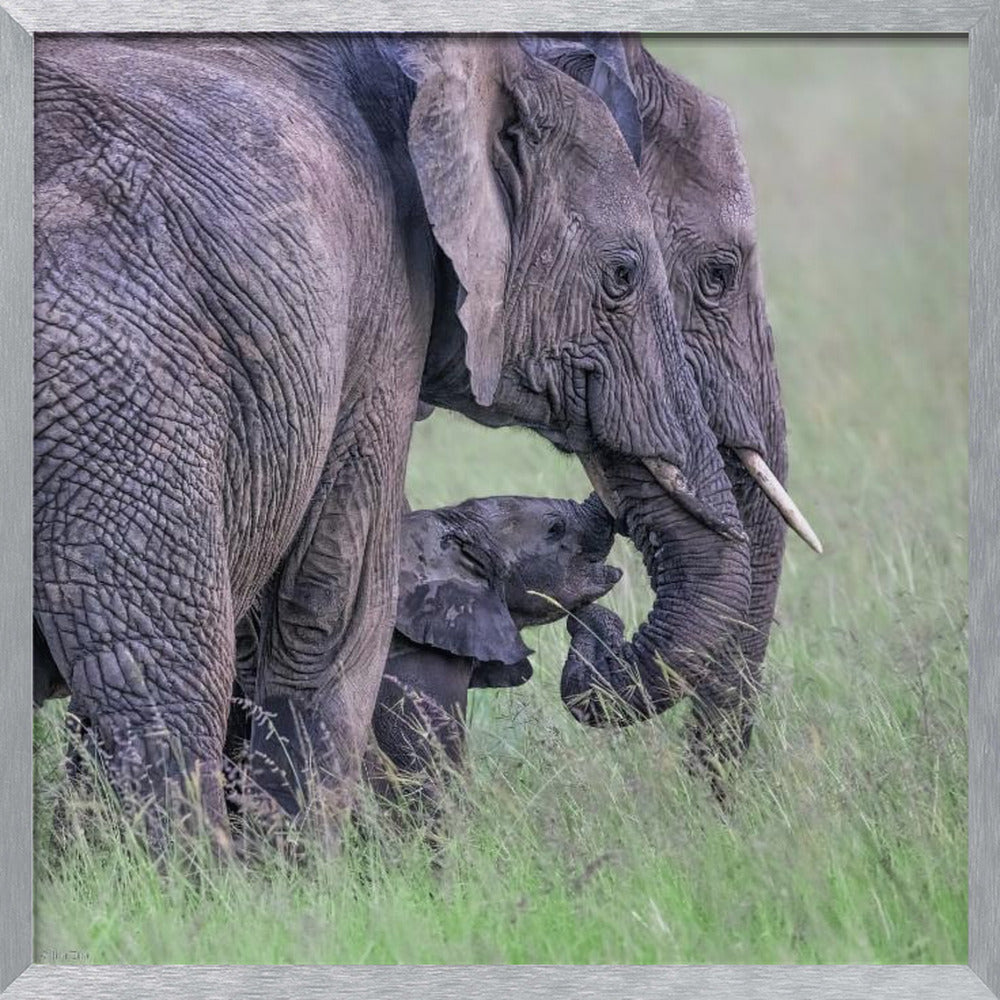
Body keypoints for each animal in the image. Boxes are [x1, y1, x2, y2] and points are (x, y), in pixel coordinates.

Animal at [33, 32, 751, 849]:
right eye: (623, 276)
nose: (599, 622)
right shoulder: (379, 309)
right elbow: (330, 606)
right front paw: (301, 873)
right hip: (125, 395)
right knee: (158, 678)